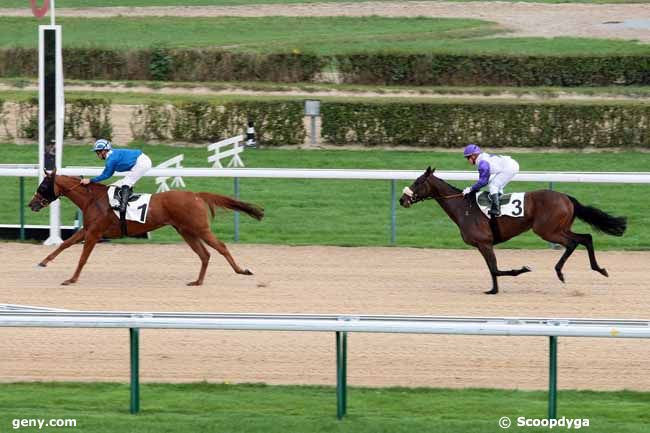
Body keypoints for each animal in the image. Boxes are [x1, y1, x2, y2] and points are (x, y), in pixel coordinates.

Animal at [27, 170, 260, 286]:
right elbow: (65, 244)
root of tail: (196, 195)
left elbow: (82, 258)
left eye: (43, 185)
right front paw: (43, 262)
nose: (32, 204)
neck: (93, 199)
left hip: (199, 229)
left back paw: (242, 270)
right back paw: (198, 281)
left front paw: (71, 279)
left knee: (221, 247)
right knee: (205, 254)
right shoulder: (87, 230)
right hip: (186, 231)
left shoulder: (94, 233)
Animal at [398, 167, 624, 296]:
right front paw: (493, 290)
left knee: (573, 243)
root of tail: (567, 197)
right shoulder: (483, 245)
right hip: (561, 228)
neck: (464, 207)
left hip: (548, 231)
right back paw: (599, 269)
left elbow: (496, 269)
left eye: (418, 182)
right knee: (586, 238)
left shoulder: (484, 242)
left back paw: (560, 272)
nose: (402, 199)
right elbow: (492, 269)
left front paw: (522, 269)